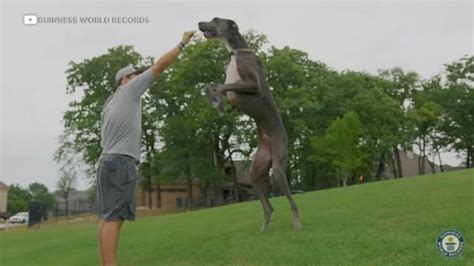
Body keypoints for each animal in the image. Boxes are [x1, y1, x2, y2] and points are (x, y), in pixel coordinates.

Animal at [197, 17, 302, 232]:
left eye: (215, 20)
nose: (199, 23)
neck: (236, 53)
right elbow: (210, 85)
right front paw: (216, 102)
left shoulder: (253, 85)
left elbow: (223, 86)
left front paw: (217, 101)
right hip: (256, 170)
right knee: (268, 206)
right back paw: (264, 228)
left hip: (278, 168)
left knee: (292, 201)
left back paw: (297, 223)